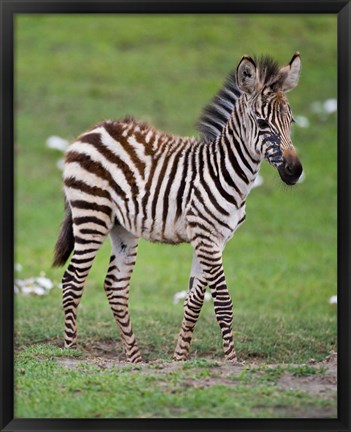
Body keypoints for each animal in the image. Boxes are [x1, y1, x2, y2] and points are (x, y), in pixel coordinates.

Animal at [53, 52, 304, 362]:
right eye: (262, 123)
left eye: (291, 120)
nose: (294, 171)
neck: (226, 170)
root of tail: (94, 129)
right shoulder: (206, 236)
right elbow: (223, 303)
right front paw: (232, 361)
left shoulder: (215, 239)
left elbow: (194, 301)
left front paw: (179, 359)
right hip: (91, 214)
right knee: (72, 281)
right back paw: (70, 350)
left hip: (121, 227)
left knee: (115, 286)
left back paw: (135, 360)